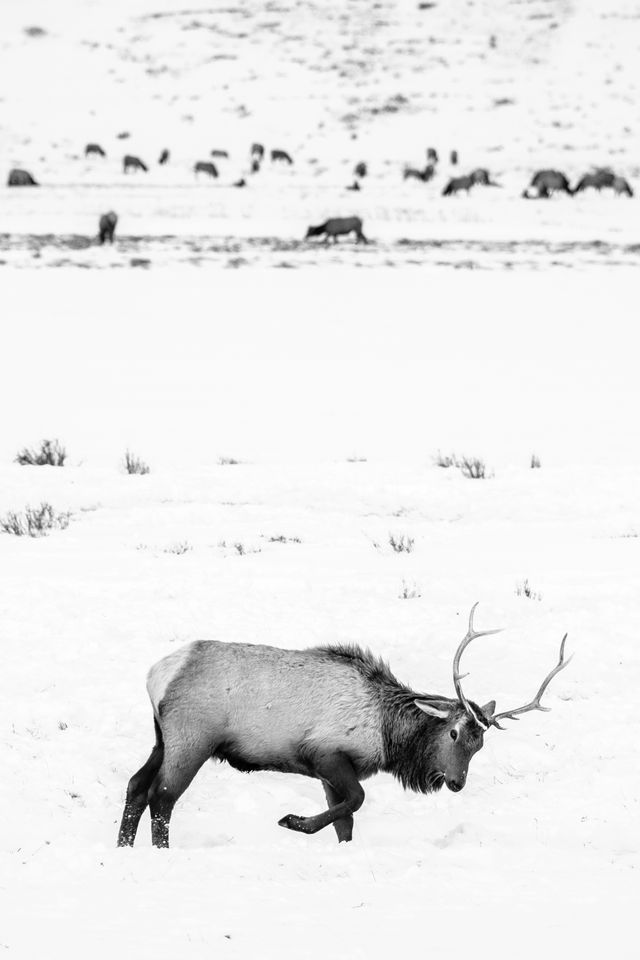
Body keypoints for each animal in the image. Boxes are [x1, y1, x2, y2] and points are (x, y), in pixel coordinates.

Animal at [116, 604, 568, 852]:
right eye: (454, 733)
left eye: (480, 746)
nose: (456, 782)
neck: (389, 737)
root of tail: (158, 673)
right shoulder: (327, 754)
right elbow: (356, 802)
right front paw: (292, 821)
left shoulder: (327, 770)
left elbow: (345, 821)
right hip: (191, 737)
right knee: (163, 795)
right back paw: (161, 852)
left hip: (162, 736)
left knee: (136, 786)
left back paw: (123, 847)